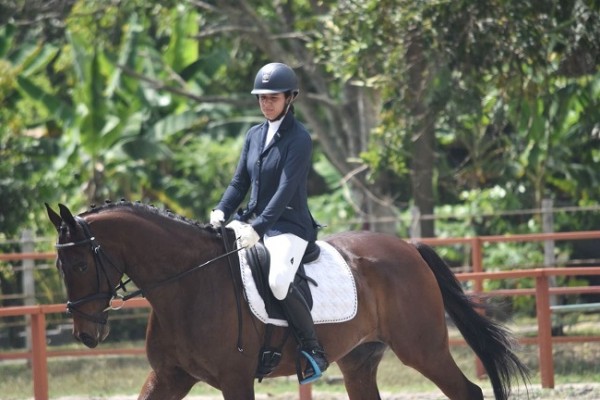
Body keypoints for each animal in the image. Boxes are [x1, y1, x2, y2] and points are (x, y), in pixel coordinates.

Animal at [44, 203, 528, 400]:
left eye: (80, 264)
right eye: (59, 266)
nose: (86, 334)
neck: (187, 285)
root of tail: (408, 247)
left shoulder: (235, 380)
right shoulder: (170, 376)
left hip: (422, 349)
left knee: (468, 392)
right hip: (360, 361)